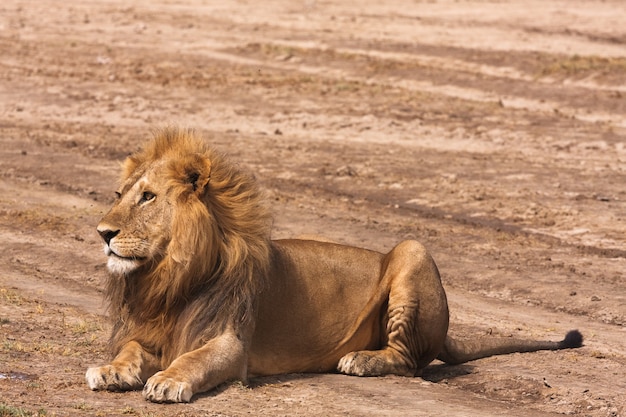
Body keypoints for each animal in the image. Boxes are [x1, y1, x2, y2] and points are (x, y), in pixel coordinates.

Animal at [84, 127, 580, 404]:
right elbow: (130, 350)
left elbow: (195, 359)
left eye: (148, 197)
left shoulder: (231, 343)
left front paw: (168, 381)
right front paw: (109, 370)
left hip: (413, 249)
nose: (103, 232)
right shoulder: (152, 332)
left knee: (408, 361)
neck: (166, 277)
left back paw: (361, 360)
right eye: (119, 194)